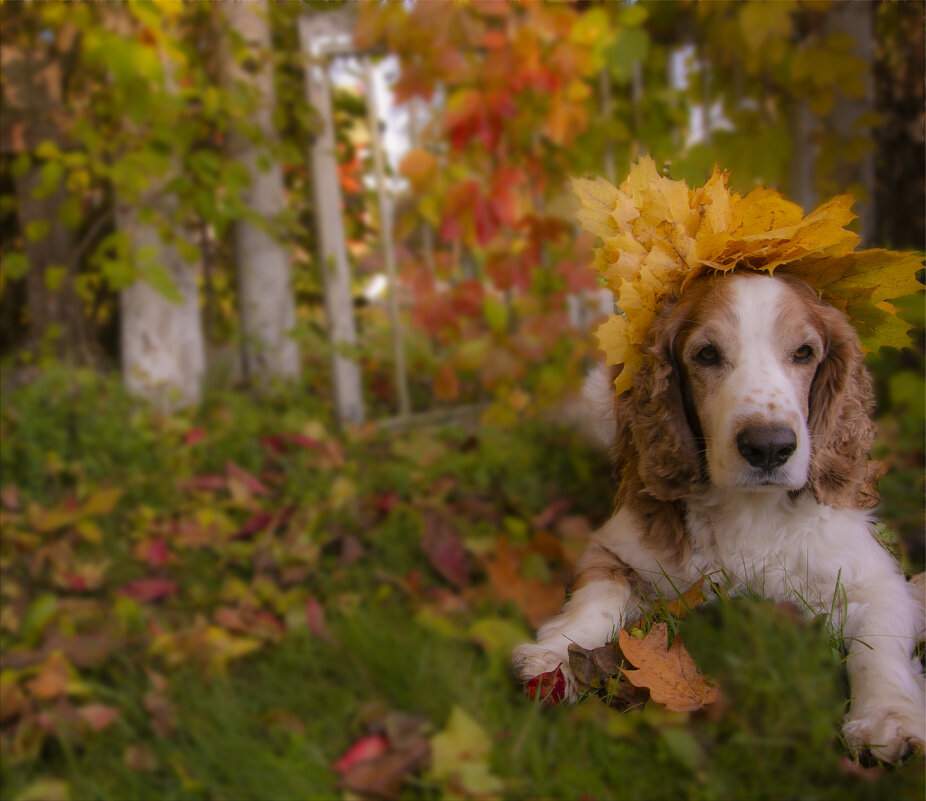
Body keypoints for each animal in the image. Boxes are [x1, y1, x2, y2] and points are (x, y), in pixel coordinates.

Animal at [516, 270, 926, 764]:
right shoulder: (618, 547)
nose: (768, 446)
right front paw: (555, 656)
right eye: (707, 354)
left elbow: (879, 646)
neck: (750, 509)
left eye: (804, 353)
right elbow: (598, 599)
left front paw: (887, 718)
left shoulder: (874, 578)